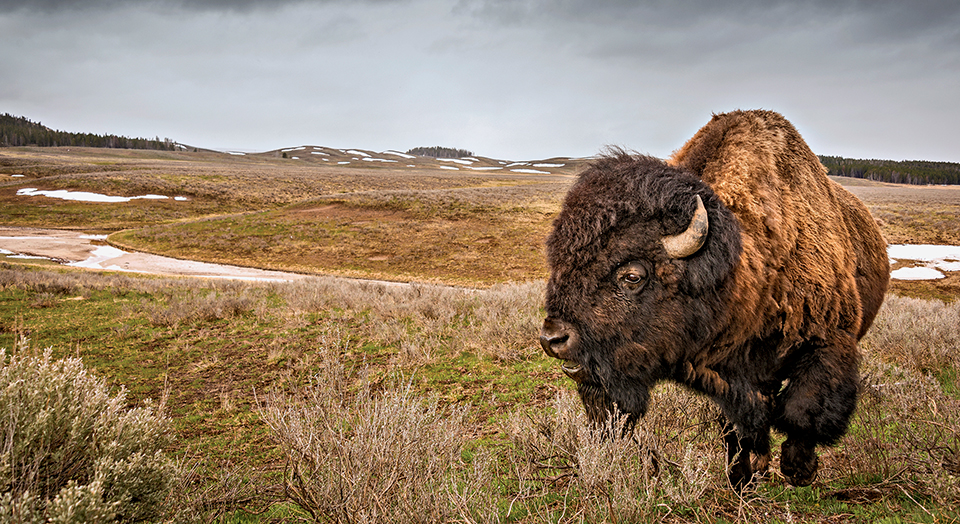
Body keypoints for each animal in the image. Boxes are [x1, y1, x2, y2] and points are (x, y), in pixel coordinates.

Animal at [540, 108, 892, 490]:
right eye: (558, 263)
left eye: (632, 275)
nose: (552, 338)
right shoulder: (732, 377)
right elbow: (736, 427)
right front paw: (742, 477)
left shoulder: (828, 341)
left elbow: (804, 411)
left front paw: (798, 469)